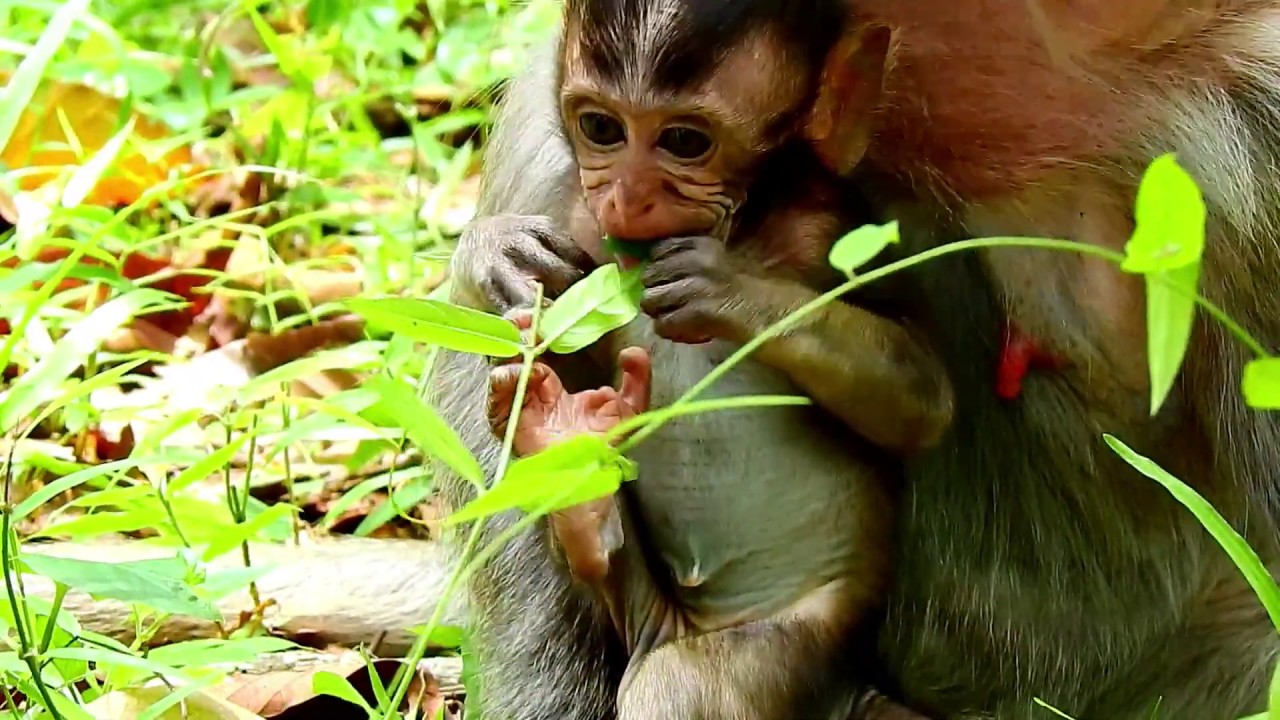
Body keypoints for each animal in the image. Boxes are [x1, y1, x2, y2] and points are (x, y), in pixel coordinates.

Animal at [440, 1, 1280, 719]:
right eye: (602, 127)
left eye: (685, 141)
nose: (627, 197)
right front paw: (494, 257)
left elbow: (915, 389)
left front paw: (733, 292)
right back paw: (569, 463)